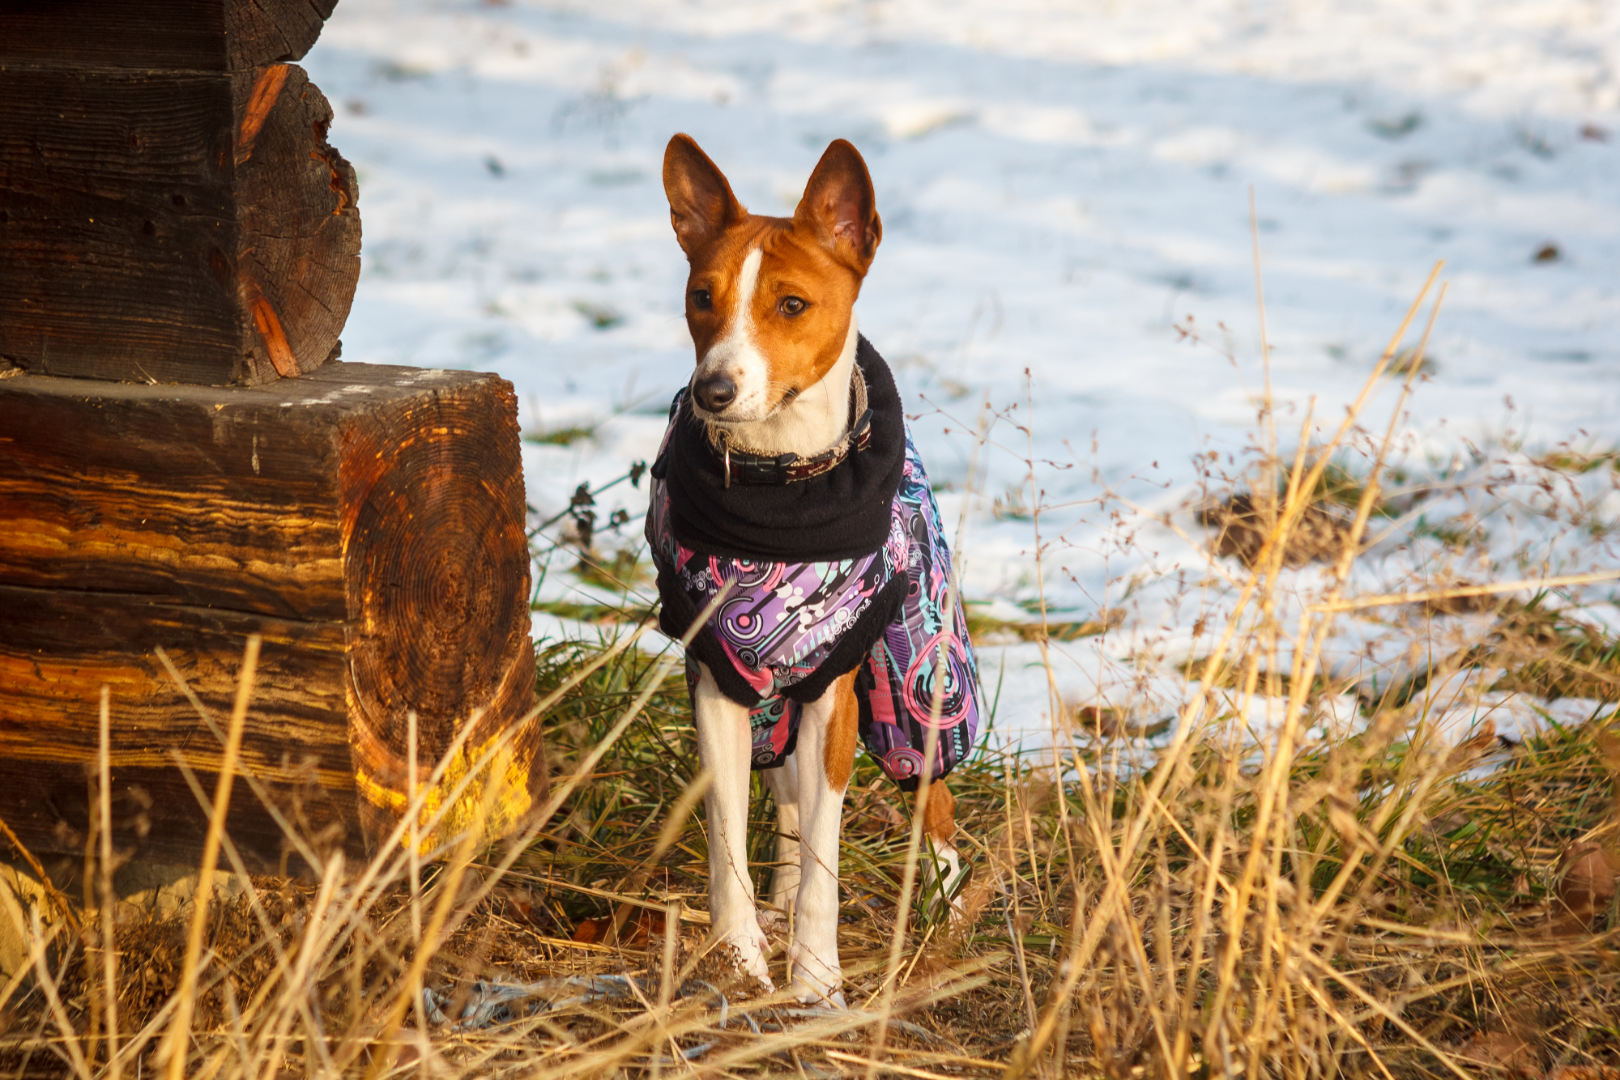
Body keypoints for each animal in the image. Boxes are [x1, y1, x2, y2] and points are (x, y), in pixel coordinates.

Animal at [648, 132, 984, 1003]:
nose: (714, 388)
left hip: (918, 689)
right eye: (701, 296)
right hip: (774, 710)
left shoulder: (837, 690)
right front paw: (739, 957)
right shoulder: (721, 684)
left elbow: (830, 859)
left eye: (792, 305)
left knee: (933, 803)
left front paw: (818, 981)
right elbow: (728, 839)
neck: (781, 494)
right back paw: (777, 903)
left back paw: (944, 918)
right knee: (790, 813)